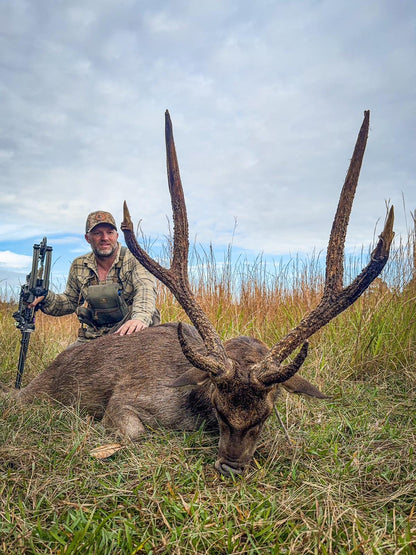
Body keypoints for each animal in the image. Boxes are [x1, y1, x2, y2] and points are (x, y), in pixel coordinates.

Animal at [2, 109, 394, 478]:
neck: (194, 403)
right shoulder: (124, 399)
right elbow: (135, 432)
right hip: (34, 395)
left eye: (266, 414)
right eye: (220, 408)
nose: (231, 467)